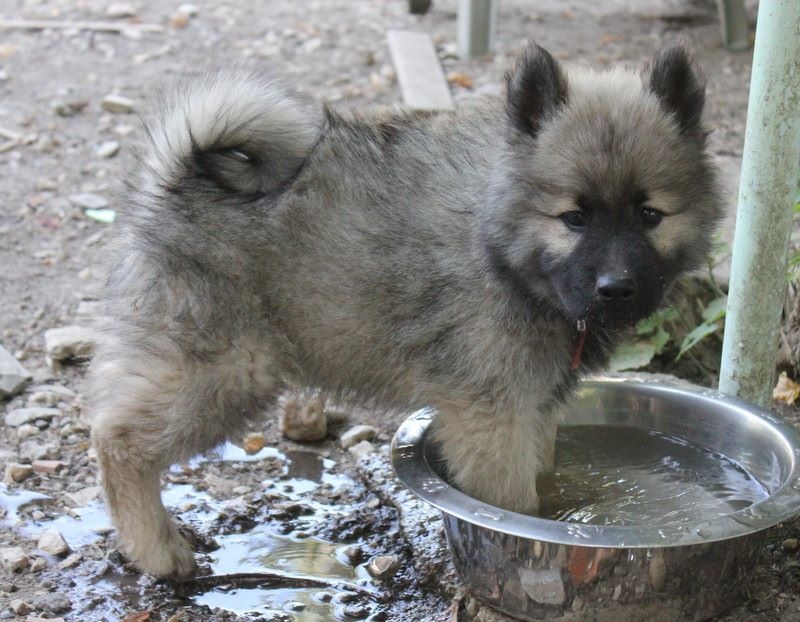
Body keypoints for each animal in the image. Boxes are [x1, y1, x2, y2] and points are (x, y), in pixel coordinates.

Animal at [89, 43, 723, 579]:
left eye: (649, 215)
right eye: (574, 218)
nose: (616, 288)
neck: (500, 246)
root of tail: (179, 179)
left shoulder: (533, 406)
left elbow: (546, 479)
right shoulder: (492, 418)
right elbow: (515, 504)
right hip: (225, 372)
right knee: (118, 439)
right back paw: (156, 547)